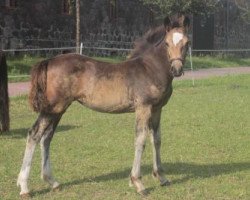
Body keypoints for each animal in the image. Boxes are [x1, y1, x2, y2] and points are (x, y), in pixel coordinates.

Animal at [17, 14, 189, 197]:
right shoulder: (143, 108)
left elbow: (156, 139)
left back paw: (53, 182)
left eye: (187, 43)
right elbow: (140, 140)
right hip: (52, 108)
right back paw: (24, 187)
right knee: (34, 134)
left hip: (59, 110)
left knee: (46, 137)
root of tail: (49, 60)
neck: (150, 69)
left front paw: (161, 177)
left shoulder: (157, 109)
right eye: (167, 43)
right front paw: (137, 182)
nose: (177, 69)